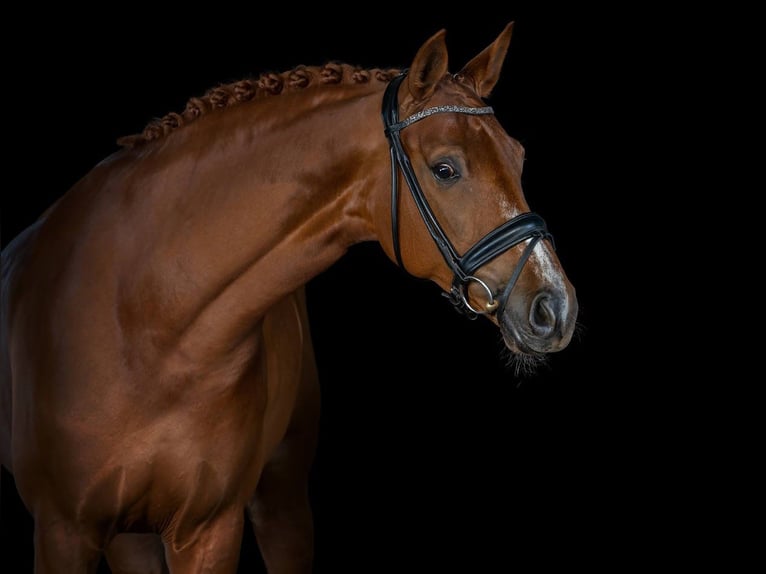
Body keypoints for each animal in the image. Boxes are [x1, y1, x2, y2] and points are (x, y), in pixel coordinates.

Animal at [0, 20, 576, 572]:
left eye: (519, 157)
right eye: (445, 169)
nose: (556, 308)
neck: (145, 319)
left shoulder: (209, 530)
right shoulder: (63, 532)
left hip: (279, 501)